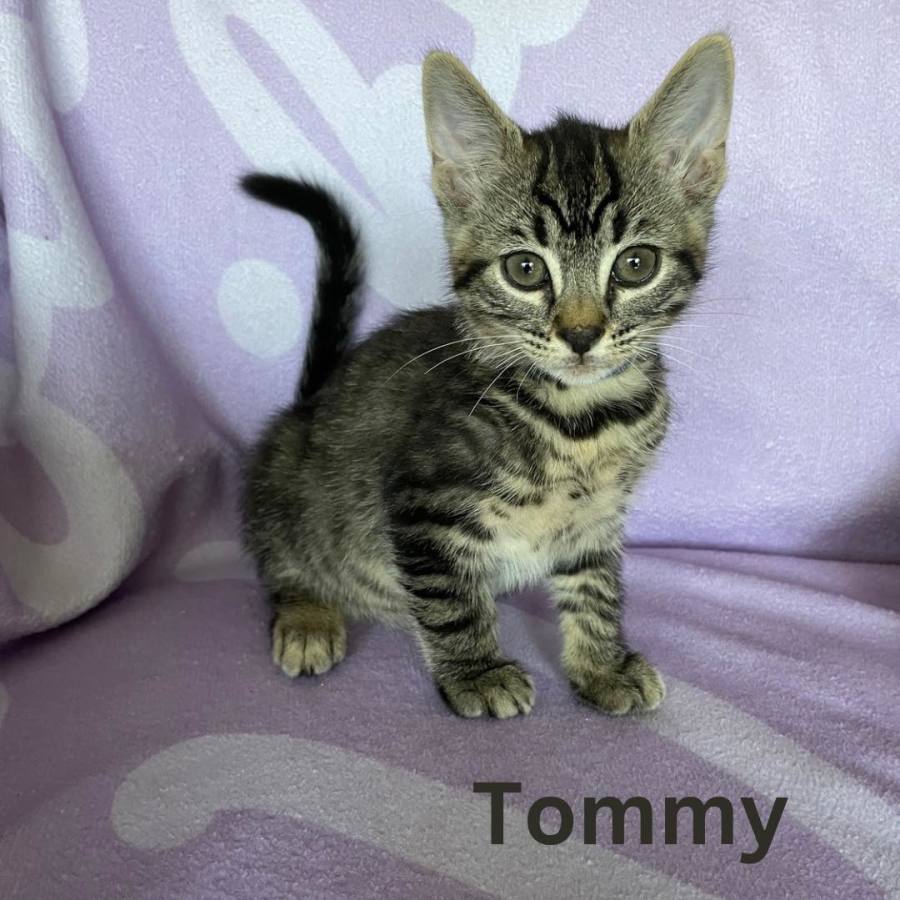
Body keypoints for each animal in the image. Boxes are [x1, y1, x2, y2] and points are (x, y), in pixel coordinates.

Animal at [240, 34, 734, 718]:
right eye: (525, 269)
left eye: (636, 264)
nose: (581, 334)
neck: (582, 418)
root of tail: (308, 403)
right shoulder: (421, 505)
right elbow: (450, 599)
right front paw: (476, 672)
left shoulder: (598, 516)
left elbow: (596, 587)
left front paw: (602, 664)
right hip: (288, 485)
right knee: (282, 557)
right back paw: (307, 617)